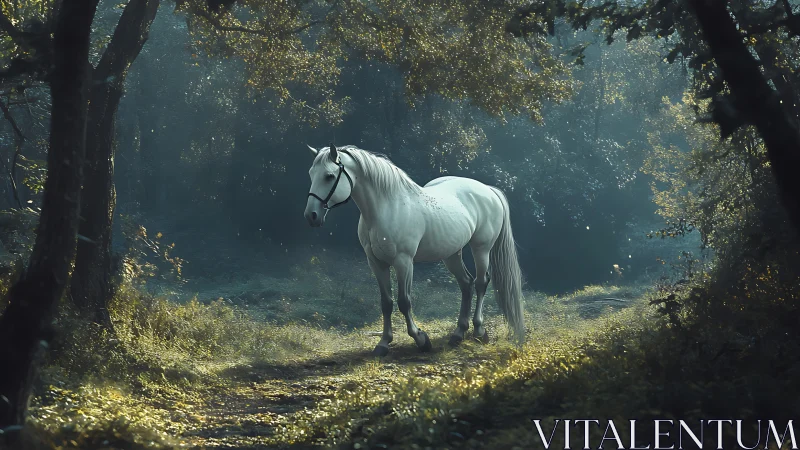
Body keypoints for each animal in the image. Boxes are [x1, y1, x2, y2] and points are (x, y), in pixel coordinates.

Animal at [304, 144, 525, 356]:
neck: (386, 208)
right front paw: (383, 344)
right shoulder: (376, 263)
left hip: (481, 249)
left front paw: (421, 340)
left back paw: (479, 331)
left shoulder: (404, 262)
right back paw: (458, 334)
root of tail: (487, 190)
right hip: (451, 254)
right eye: (311, 174)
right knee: (466, 284)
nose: (311, 216)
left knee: (480, 283)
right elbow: (386, 303)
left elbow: (404, 301)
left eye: (329, 176)